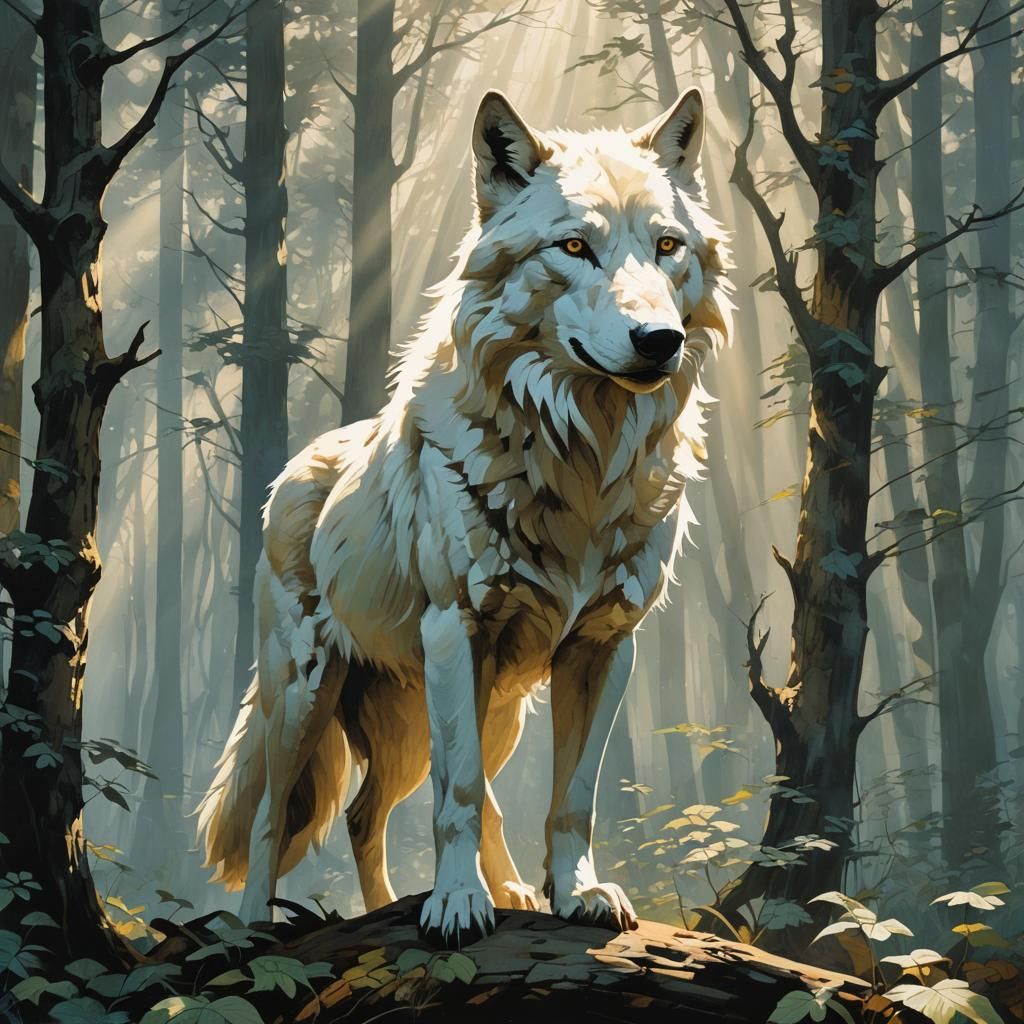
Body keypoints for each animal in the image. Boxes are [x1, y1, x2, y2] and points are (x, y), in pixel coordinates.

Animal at [197, 88, 731, 947]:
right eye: (575, 246)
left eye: (667, 246)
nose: (660, 340)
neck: (582, 461)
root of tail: (292, 468)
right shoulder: (456, 630)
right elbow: (457, 799)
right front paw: (454, 906)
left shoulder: (605, 648)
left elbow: (570, 800)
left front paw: (576, 894)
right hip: (304, 696)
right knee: (278, 818)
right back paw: (258, 931)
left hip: (487, 711)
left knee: (369, 813)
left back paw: (475, 896)